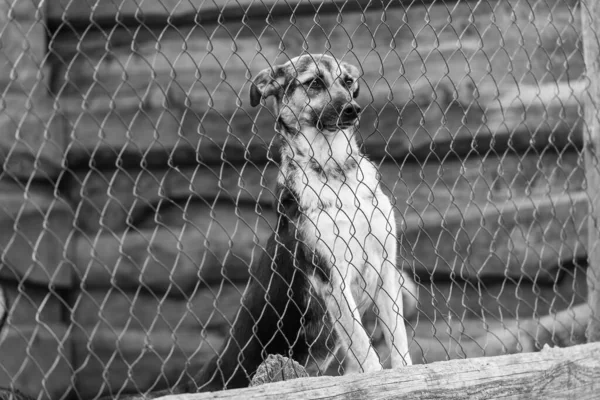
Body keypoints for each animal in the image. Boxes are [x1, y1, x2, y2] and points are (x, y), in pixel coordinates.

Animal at [176, 53, 414, 394]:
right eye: (314, 82)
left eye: (348, 81)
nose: (353, 110)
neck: (334, 171)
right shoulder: (331, 276)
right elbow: (362, 343)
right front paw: (376, 377)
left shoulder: (385, 268)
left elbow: (398, 338)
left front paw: (407, 374)